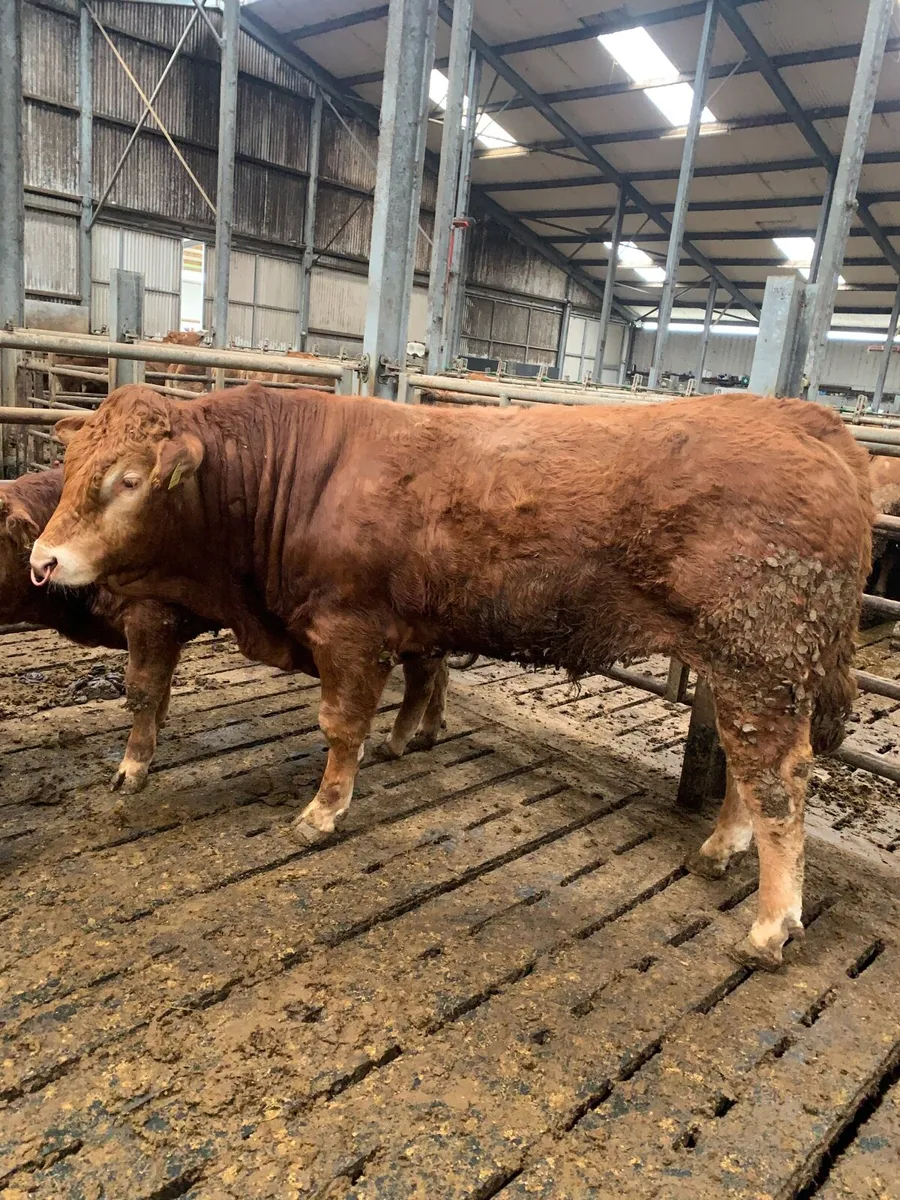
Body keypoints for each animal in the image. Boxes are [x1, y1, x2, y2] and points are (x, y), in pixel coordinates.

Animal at [1, 470, 447, 795]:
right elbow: (160, 688)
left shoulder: (150, 617)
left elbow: (143, 688)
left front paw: (131, 769)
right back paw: (427, 731)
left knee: (422, 678)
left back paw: (396, 743)